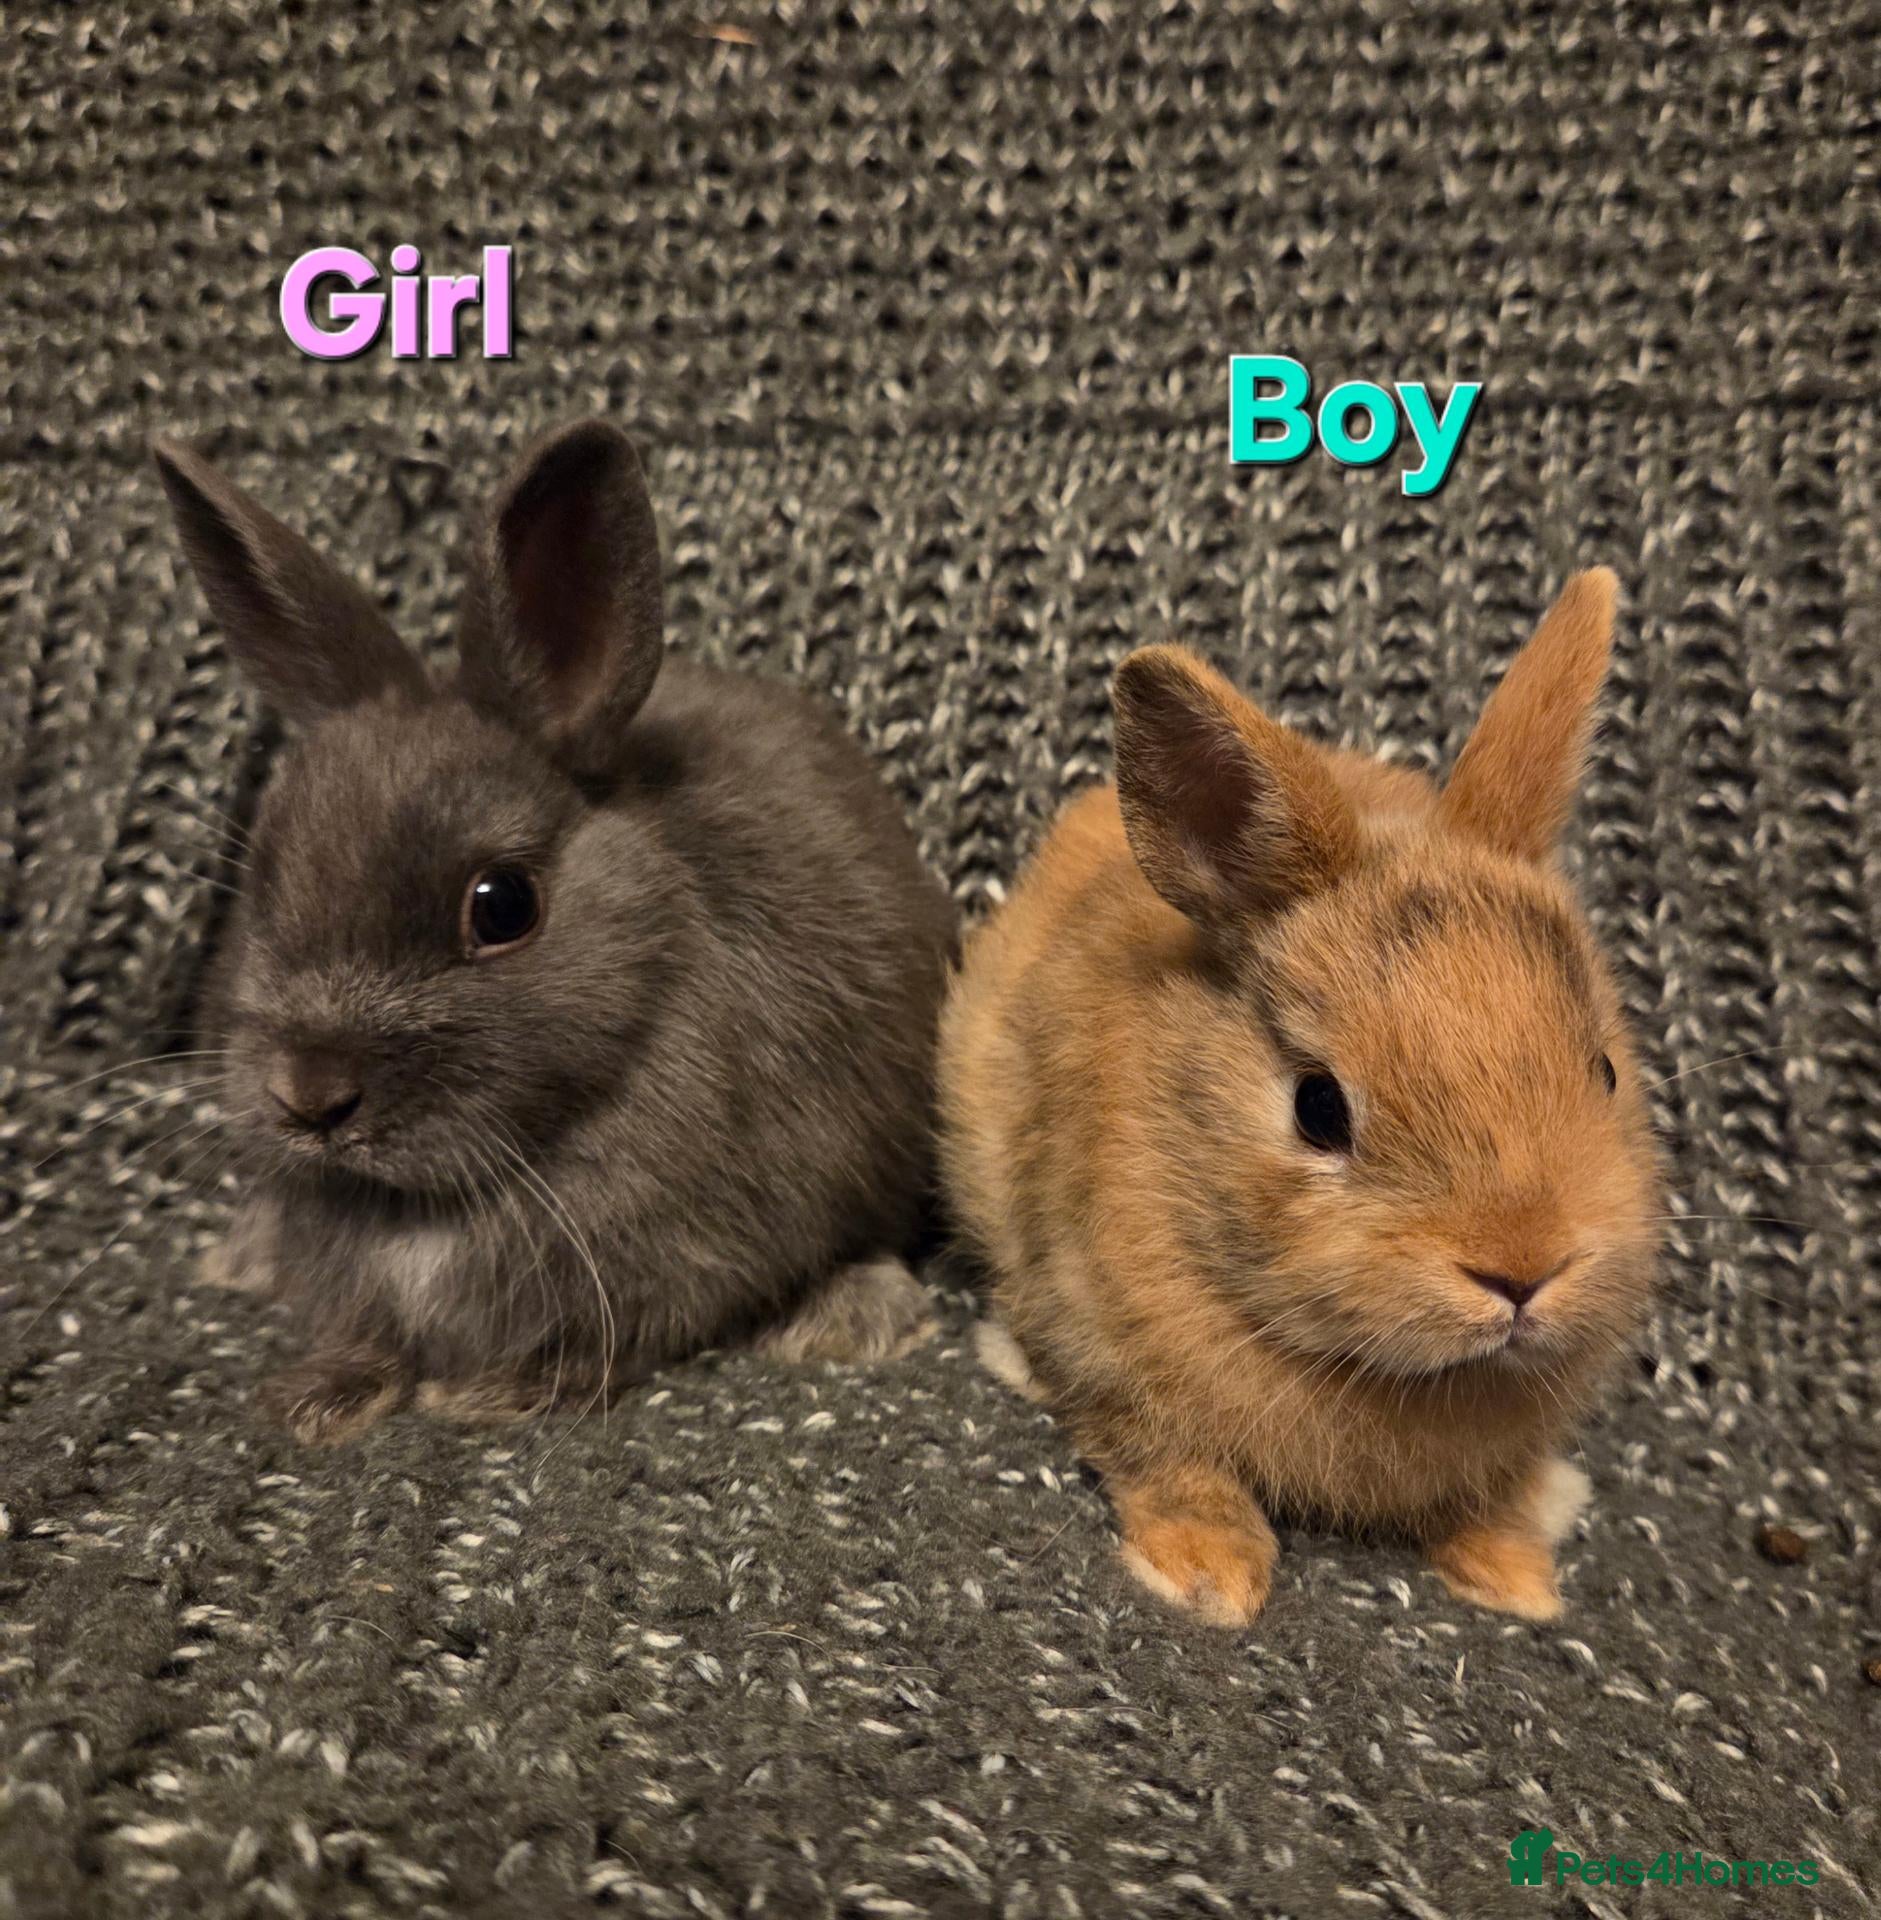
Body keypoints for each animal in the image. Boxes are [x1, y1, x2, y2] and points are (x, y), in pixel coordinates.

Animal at [154, 419, 957, 1445]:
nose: (310, 1096)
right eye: (262, 880)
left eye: (502, 906)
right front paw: (316, 1397)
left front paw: (495, 1394)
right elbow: (364, 1334)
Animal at [939, 570, 1659, 1625]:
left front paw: (1513, 1575)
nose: (1523, 1269)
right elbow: (1165, 1457)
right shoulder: (1096, 1336)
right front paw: (1211, 1575)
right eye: (1318, 1108)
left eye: (1602, 1071)